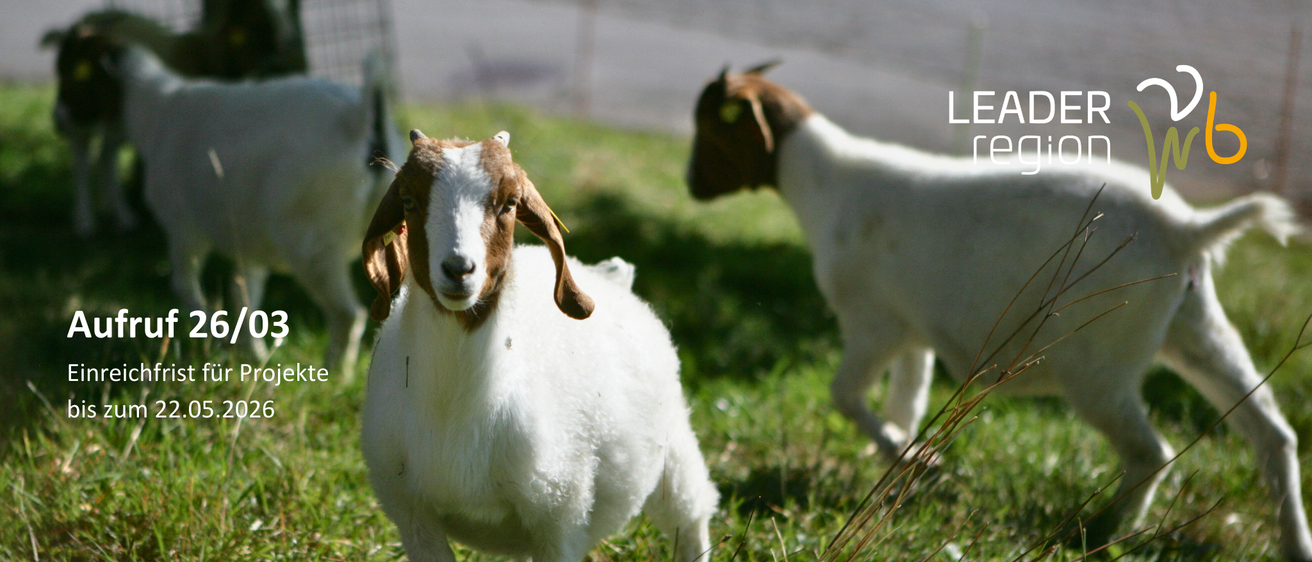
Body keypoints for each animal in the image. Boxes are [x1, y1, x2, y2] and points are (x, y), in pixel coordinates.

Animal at [41, 1, 306, 236]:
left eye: (288, 9)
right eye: (257, 16)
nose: (289, 45)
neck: (206, 53)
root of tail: (86, 19)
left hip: (111, 119)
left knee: (106, 157)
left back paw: (121, 217)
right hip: (81, 111)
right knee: (81, 158)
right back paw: (85, 222)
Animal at [105, 42, 396, 375]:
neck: (159, 108)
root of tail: (359, 117)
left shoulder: (183, 227)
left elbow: (185, 285)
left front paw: (220, 343)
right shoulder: (249, 240)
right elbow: (243, 293)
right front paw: (252, 355)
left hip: (312, 244)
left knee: (347, 314)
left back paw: (333, 374)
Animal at [361, 130, 717, 562]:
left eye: (510, 203)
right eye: (409, 201)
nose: (459, 269)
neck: (454, 407)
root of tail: (610, 275)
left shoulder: (560, 517)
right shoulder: (414, 514)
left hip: (674, 454)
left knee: (692, 517)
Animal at [686, 64, 1311, 561]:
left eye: (711, 129)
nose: (690, 186)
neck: (827, 184)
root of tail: (1186, 229)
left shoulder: (872, 325)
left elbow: (844, 394)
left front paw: (917, 461)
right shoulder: (912, 333)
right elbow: (904, 403)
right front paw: (900, 461)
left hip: (1098, 364)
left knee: (1149, 452)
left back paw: (1106, 533)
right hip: (1198, 331)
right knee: (1273, 436)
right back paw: (1293, 542)